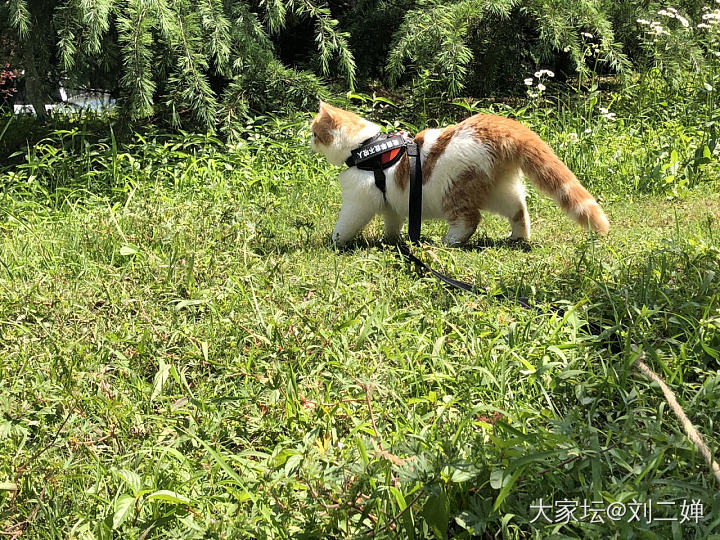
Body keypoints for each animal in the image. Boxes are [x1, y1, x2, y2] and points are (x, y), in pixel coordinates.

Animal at [310, 102, 608, 248]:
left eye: (315, 133)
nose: (308, 139)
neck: (366, 146)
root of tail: (500, 124)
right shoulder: (391, 203)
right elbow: (392, 223)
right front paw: (391, 241)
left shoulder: (357, 204)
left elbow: (344, 226)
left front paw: (333, 243)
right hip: (498, 190)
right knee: (519, 210)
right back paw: (518, 238)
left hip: (455, 190)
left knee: (469, 221)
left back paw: (449, 241)